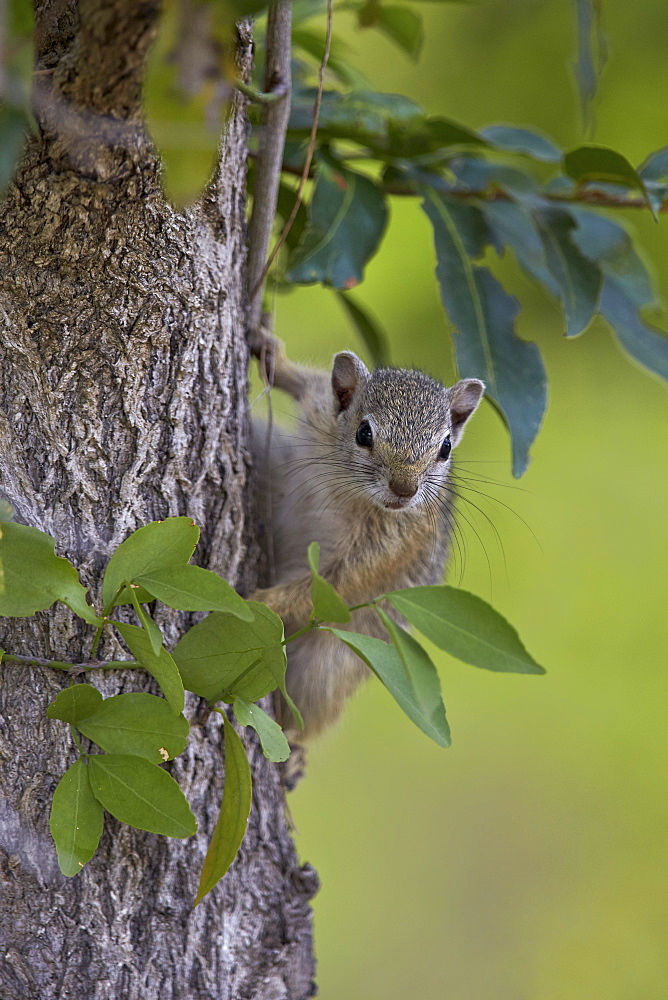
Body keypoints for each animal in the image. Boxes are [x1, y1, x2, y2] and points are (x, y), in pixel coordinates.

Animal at [248, 330, 482, 780]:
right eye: (363, 434)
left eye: (446, 447)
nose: (405, 490)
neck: (349, 488)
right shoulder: (320, 409)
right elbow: (305, 382)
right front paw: (271, 355)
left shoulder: (389, 545)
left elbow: (333, 585)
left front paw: (260, 599)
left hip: (324, 669)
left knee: (308, 714)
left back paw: (294, 752)